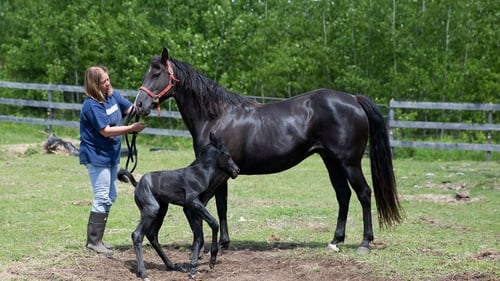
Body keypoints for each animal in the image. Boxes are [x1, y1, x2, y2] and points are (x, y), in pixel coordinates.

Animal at [119, 132, 240, 278]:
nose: (237, 170)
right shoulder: (193, 202)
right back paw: (143, 272)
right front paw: (212, 260)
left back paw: (172, 266)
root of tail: (137, 184)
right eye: (227, 155)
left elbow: (199, 236)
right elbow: (213, 224)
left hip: (162, 210)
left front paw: (193, 267)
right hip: (151, 210)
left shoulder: (189, 208)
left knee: (152, 235)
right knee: (137, 235)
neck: (199, 173)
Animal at [134, 47, 402, 253]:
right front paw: (223, 242)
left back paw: (365, 242)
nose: (139, 104)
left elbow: (215, 205)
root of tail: (354, 99)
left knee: (364, 193)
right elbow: (221, 205)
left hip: (349, 163)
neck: (216, 116)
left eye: (156, 73)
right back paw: (335, 240)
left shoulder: (218, 173)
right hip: (331, 161)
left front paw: (218, 244)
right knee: (343, 195)